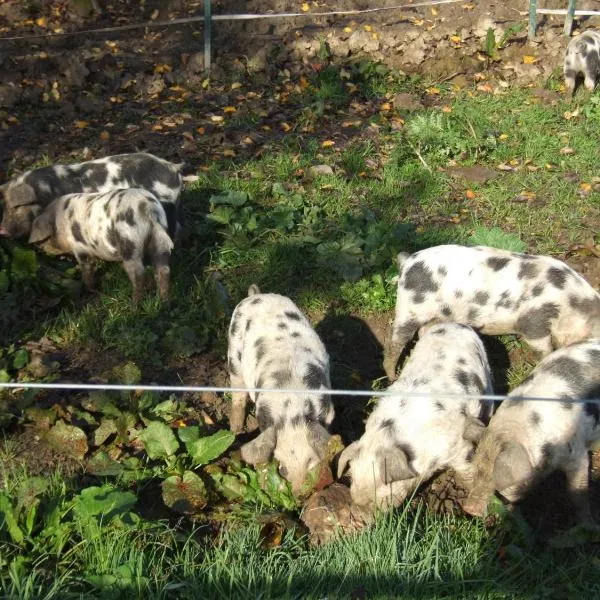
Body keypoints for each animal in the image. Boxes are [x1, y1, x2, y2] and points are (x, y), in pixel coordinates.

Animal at [0, 151, 183, 240]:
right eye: (5, 205)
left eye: (19, 205)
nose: (2, 231)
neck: (49, 190)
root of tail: (173, 167)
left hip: (165, 202)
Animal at [28, 189, 173, 302]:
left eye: (44, 239)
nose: (38, 249)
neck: (60, 223)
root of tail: (147, 209)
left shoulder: (80, 248)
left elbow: (87, 267)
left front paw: (88, 288)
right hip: (159, 241)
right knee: (163, 270)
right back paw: (164, 302)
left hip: (130, 242)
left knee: (139, 274)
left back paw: (134, 307)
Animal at [227, 284, 336, 492]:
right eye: (282, 469)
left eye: (311, 463)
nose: (299, 493)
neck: (291, 407)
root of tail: (256, 295)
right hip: (233, 355)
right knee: (237, 393)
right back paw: (235, 430)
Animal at [384, 245, 600, 380]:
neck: (571, 305)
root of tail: (408, 261)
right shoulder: (533, 322)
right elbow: (543, 347)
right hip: (409, 308)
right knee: (396, 342)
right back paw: (393, 376)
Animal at [464, 340, 600, 524]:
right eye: (477, 469)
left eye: (498, 480)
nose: (469, 508)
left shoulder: (577, 454)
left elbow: (578, 492)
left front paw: (588, 525)